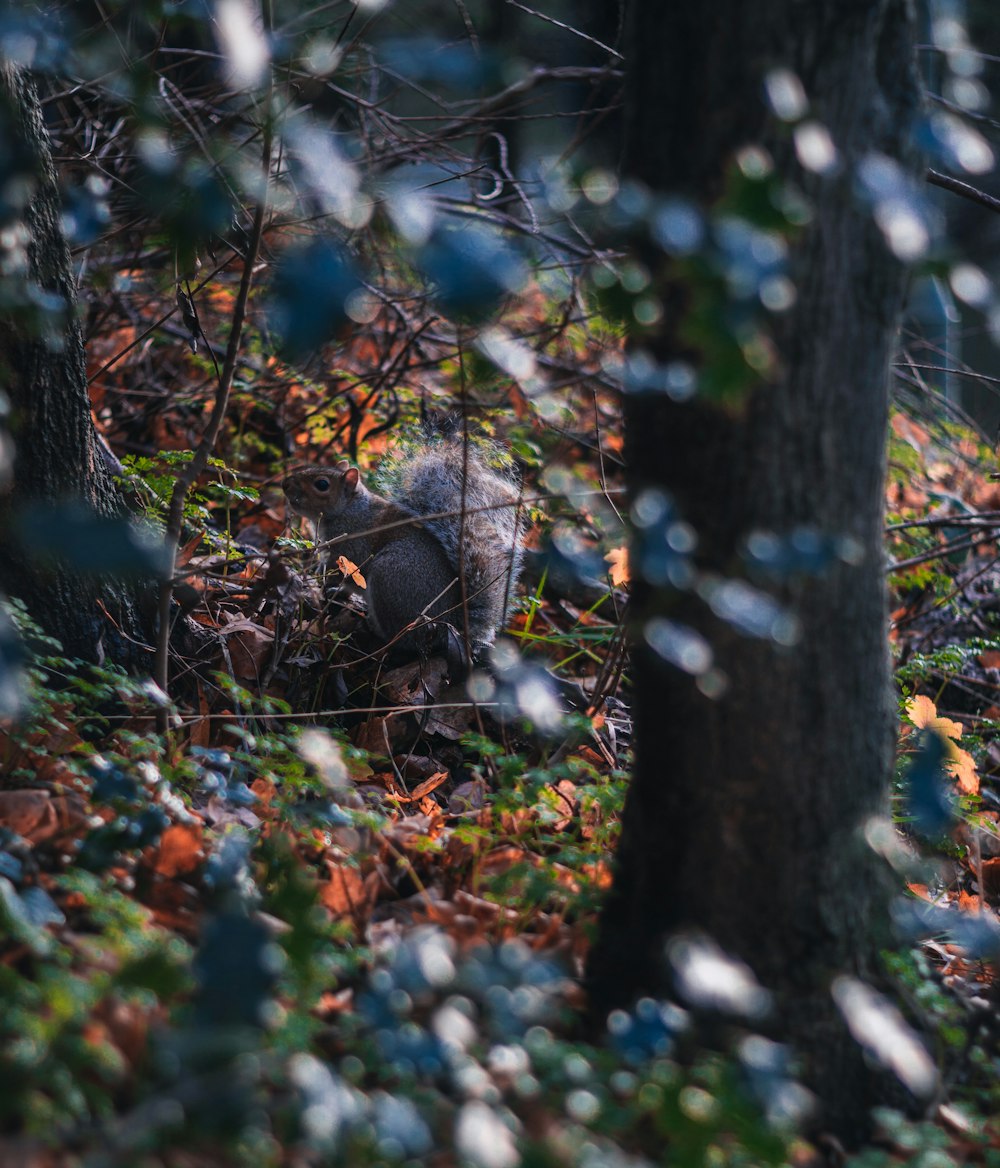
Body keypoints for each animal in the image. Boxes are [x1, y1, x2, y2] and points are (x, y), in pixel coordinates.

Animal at [282, 436, 523, 658]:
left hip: (389, 576)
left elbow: (344, 574)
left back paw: (374, 630)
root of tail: (449, 622)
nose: (286, 484)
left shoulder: (352, 548)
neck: (348, 509)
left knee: (402, 639)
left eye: (322, 484)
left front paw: (325, 586)